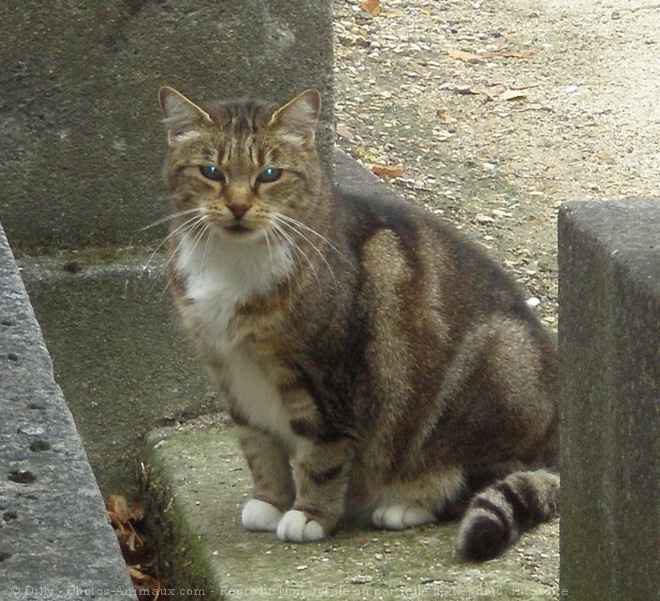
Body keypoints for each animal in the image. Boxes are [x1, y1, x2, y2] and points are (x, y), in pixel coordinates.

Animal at [157, 86, 560, 560]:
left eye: (270, 173)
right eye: (211, 171)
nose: (238, 206)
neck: (233, 262)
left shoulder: (329, 379)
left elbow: (321, 456)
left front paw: (309, 515)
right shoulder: (232, 377)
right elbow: (259, 447)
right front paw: (270, 502)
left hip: (499, 367)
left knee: (481, 476)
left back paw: (408, 503)